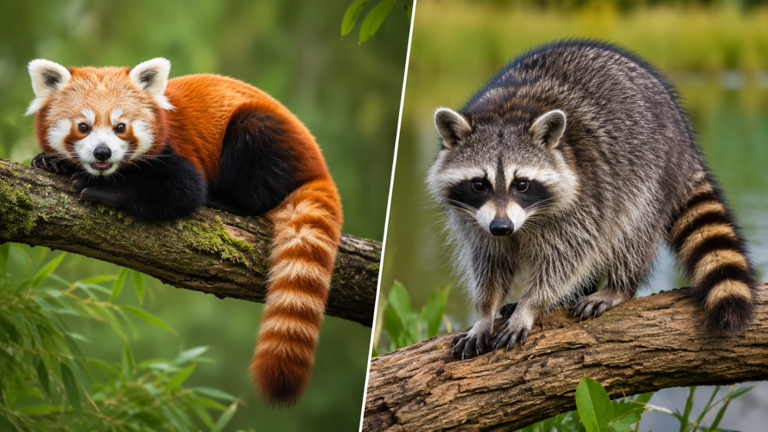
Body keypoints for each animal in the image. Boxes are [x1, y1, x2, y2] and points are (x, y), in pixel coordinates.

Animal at [427, 40, 756, 359]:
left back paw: (619, 287)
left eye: (521, 184)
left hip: (652, 178)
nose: (502, 227)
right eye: (478, 184)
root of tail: (685, 139)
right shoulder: (476, 220)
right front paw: (485, 313)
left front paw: (530, 306)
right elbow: (489, 263)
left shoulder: (585, 198)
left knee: (630, 233)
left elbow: (567, 257)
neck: (507, 112)